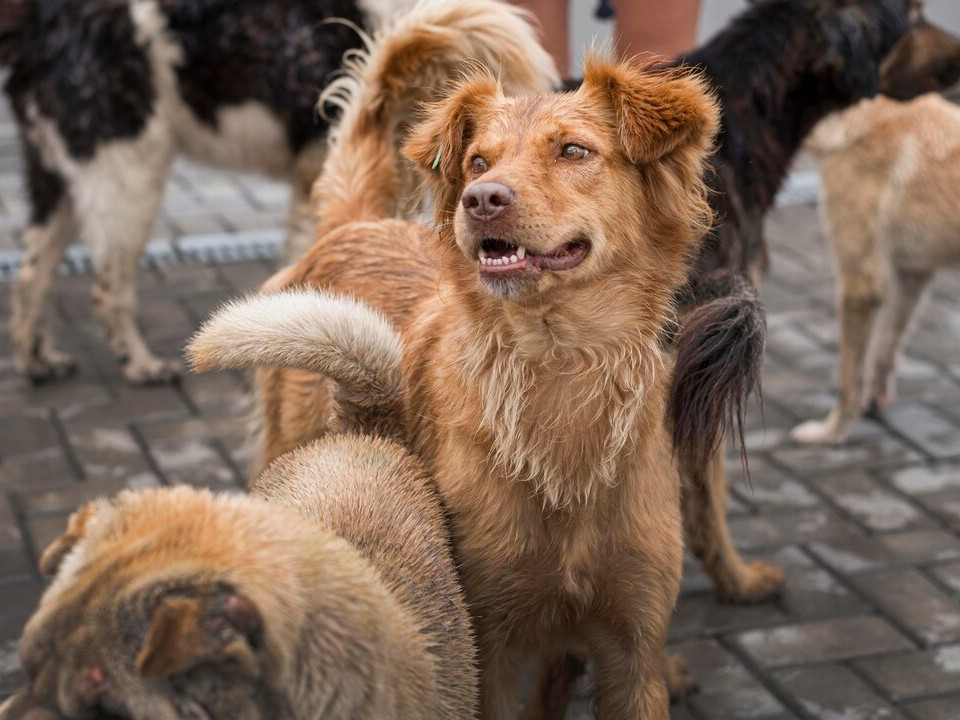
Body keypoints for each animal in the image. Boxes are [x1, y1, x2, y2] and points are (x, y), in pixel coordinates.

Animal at [0, 0, 412, 382]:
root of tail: (41, 19)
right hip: (128, 178)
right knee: (107, 291)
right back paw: (141, 365)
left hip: (58, 181)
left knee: (31, 279)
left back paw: (38, 361)